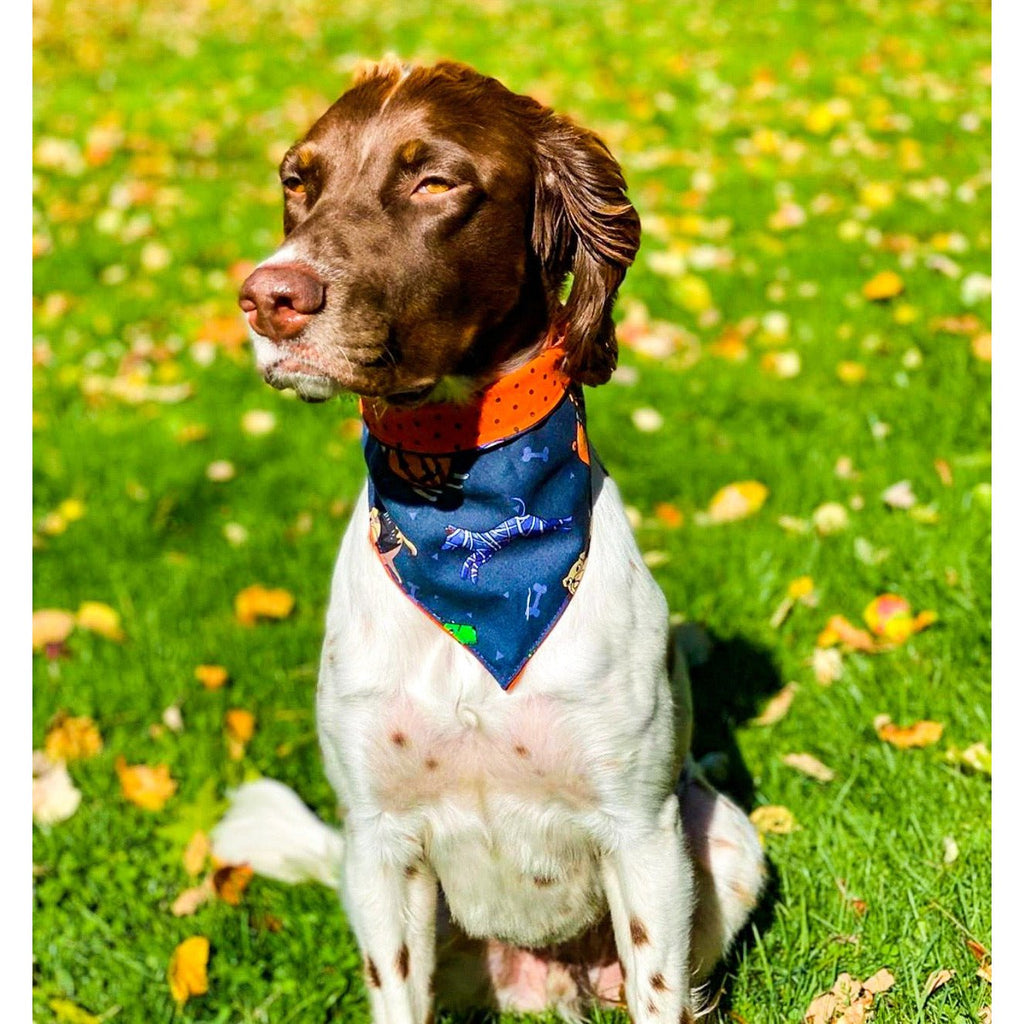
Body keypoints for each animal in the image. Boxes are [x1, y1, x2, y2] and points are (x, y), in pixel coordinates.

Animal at [214, 59, 761, 1019]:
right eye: (297, 181)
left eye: (435, 182)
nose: (268, 297)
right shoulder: (378, 840)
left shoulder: (642, 828)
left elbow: (661, 985)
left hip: (726, 839)